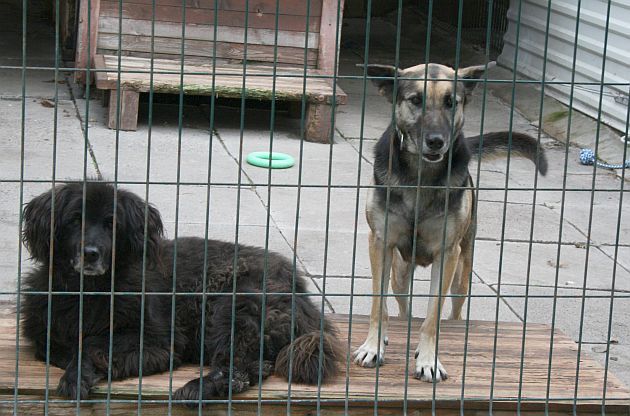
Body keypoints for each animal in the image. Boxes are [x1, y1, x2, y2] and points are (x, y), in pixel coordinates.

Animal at [21, 183, 340, 404]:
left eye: (112, 224)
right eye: (75, 220)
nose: (91, 253)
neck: (91, 292)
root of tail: (301, 291)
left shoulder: (159, 344)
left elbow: (91, 343)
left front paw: (78, 375)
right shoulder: (46, 335)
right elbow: (62, 347)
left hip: (233, 305)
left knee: (243, 367)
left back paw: (200, 388)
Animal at [354, 61, 552, 380]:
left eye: (451, 102)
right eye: (415, 100)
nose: (437, 141)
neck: (421, 175)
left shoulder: (448, 254)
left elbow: (432, 315)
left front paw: (428, 359)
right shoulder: (380, 243)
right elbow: (377, 306)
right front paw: (374, 346)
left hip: (462, 274)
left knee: (454, 309)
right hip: (399, 273)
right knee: (400, 305)